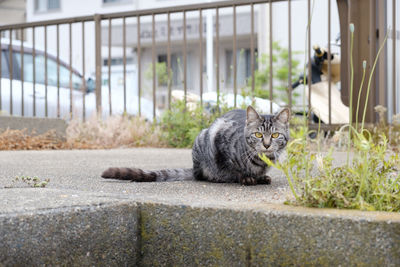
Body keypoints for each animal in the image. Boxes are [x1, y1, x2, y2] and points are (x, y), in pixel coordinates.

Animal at [101, 106, 290, 186]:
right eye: (258, 135)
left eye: (275, 135)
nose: (266, 145)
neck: (260, 161)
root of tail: (194, 168)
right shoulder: (217, 140)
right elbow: (231, 169)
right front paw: (245, 177)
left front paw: (260, 177)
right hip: (202, 139)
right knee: (204, 175)